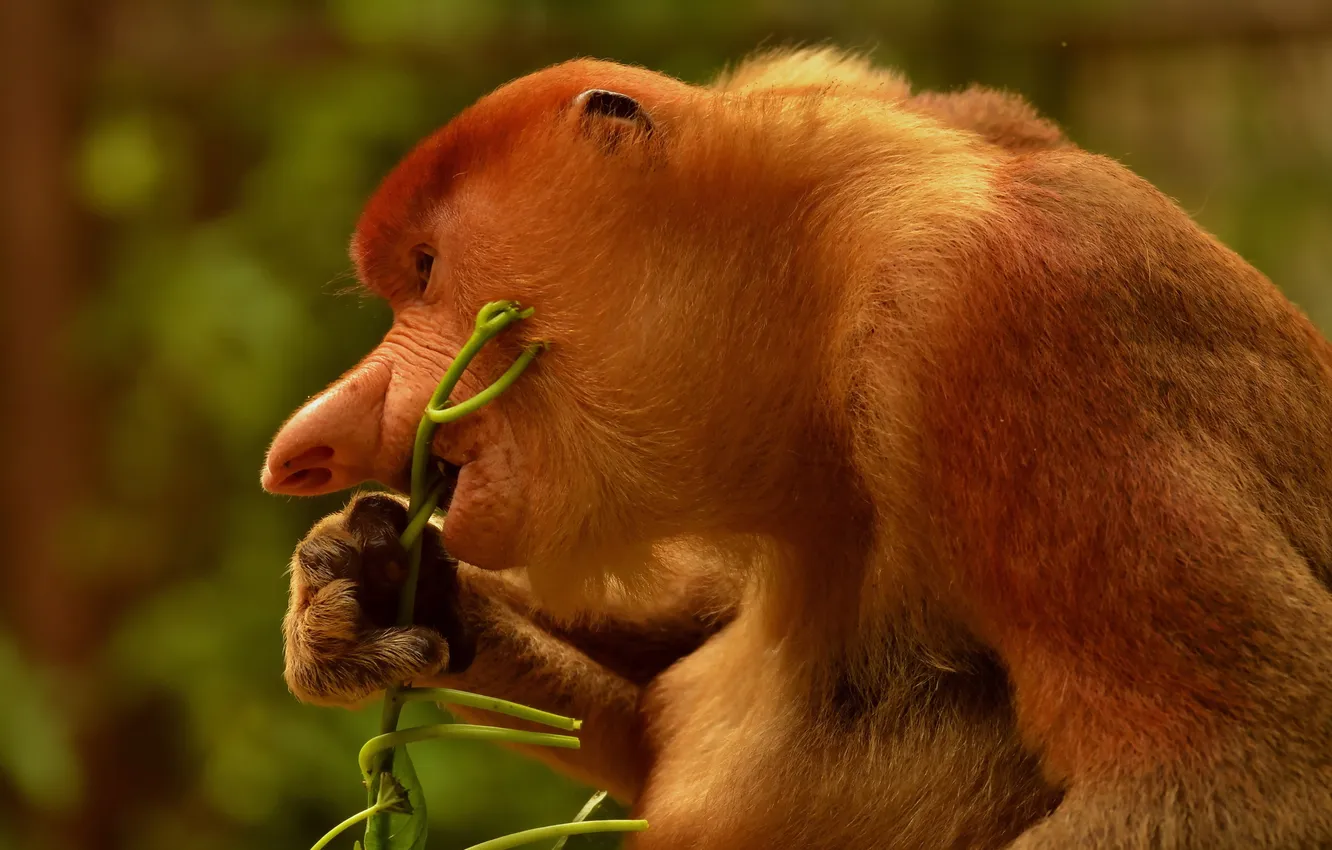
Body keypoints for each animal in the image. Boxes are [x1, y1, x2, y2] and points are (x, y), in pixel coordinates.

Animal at [259, 48, 1332, 850]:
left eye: (424, 267)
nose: (304, 448)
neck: (827, 279)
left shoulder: (1007, 316)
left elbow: (1239, 780)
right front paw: (361, 588)